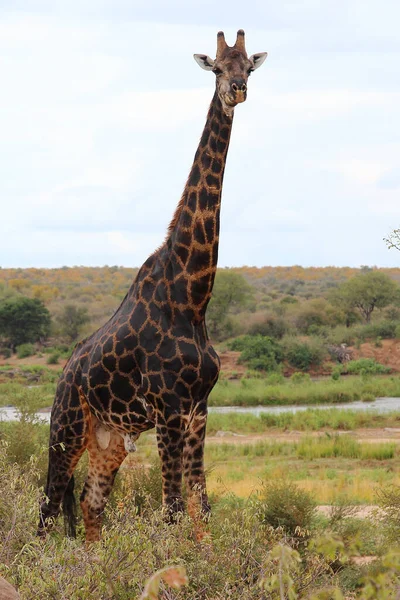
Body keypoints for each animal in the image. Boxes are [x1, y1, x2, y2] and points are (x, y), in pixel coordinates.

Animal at [38, 29, 268, 544]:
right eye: (217, 68)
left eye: (249, 66)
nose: (237, 91)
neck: (192, 296)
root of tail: (63, 374)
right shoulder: (168, 407)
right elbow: (173, 510)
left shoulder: (199, 409)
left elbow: (202, 509)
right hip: (66, 427)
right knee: (46, 508)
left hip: (108, 438)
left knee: (90, 505)